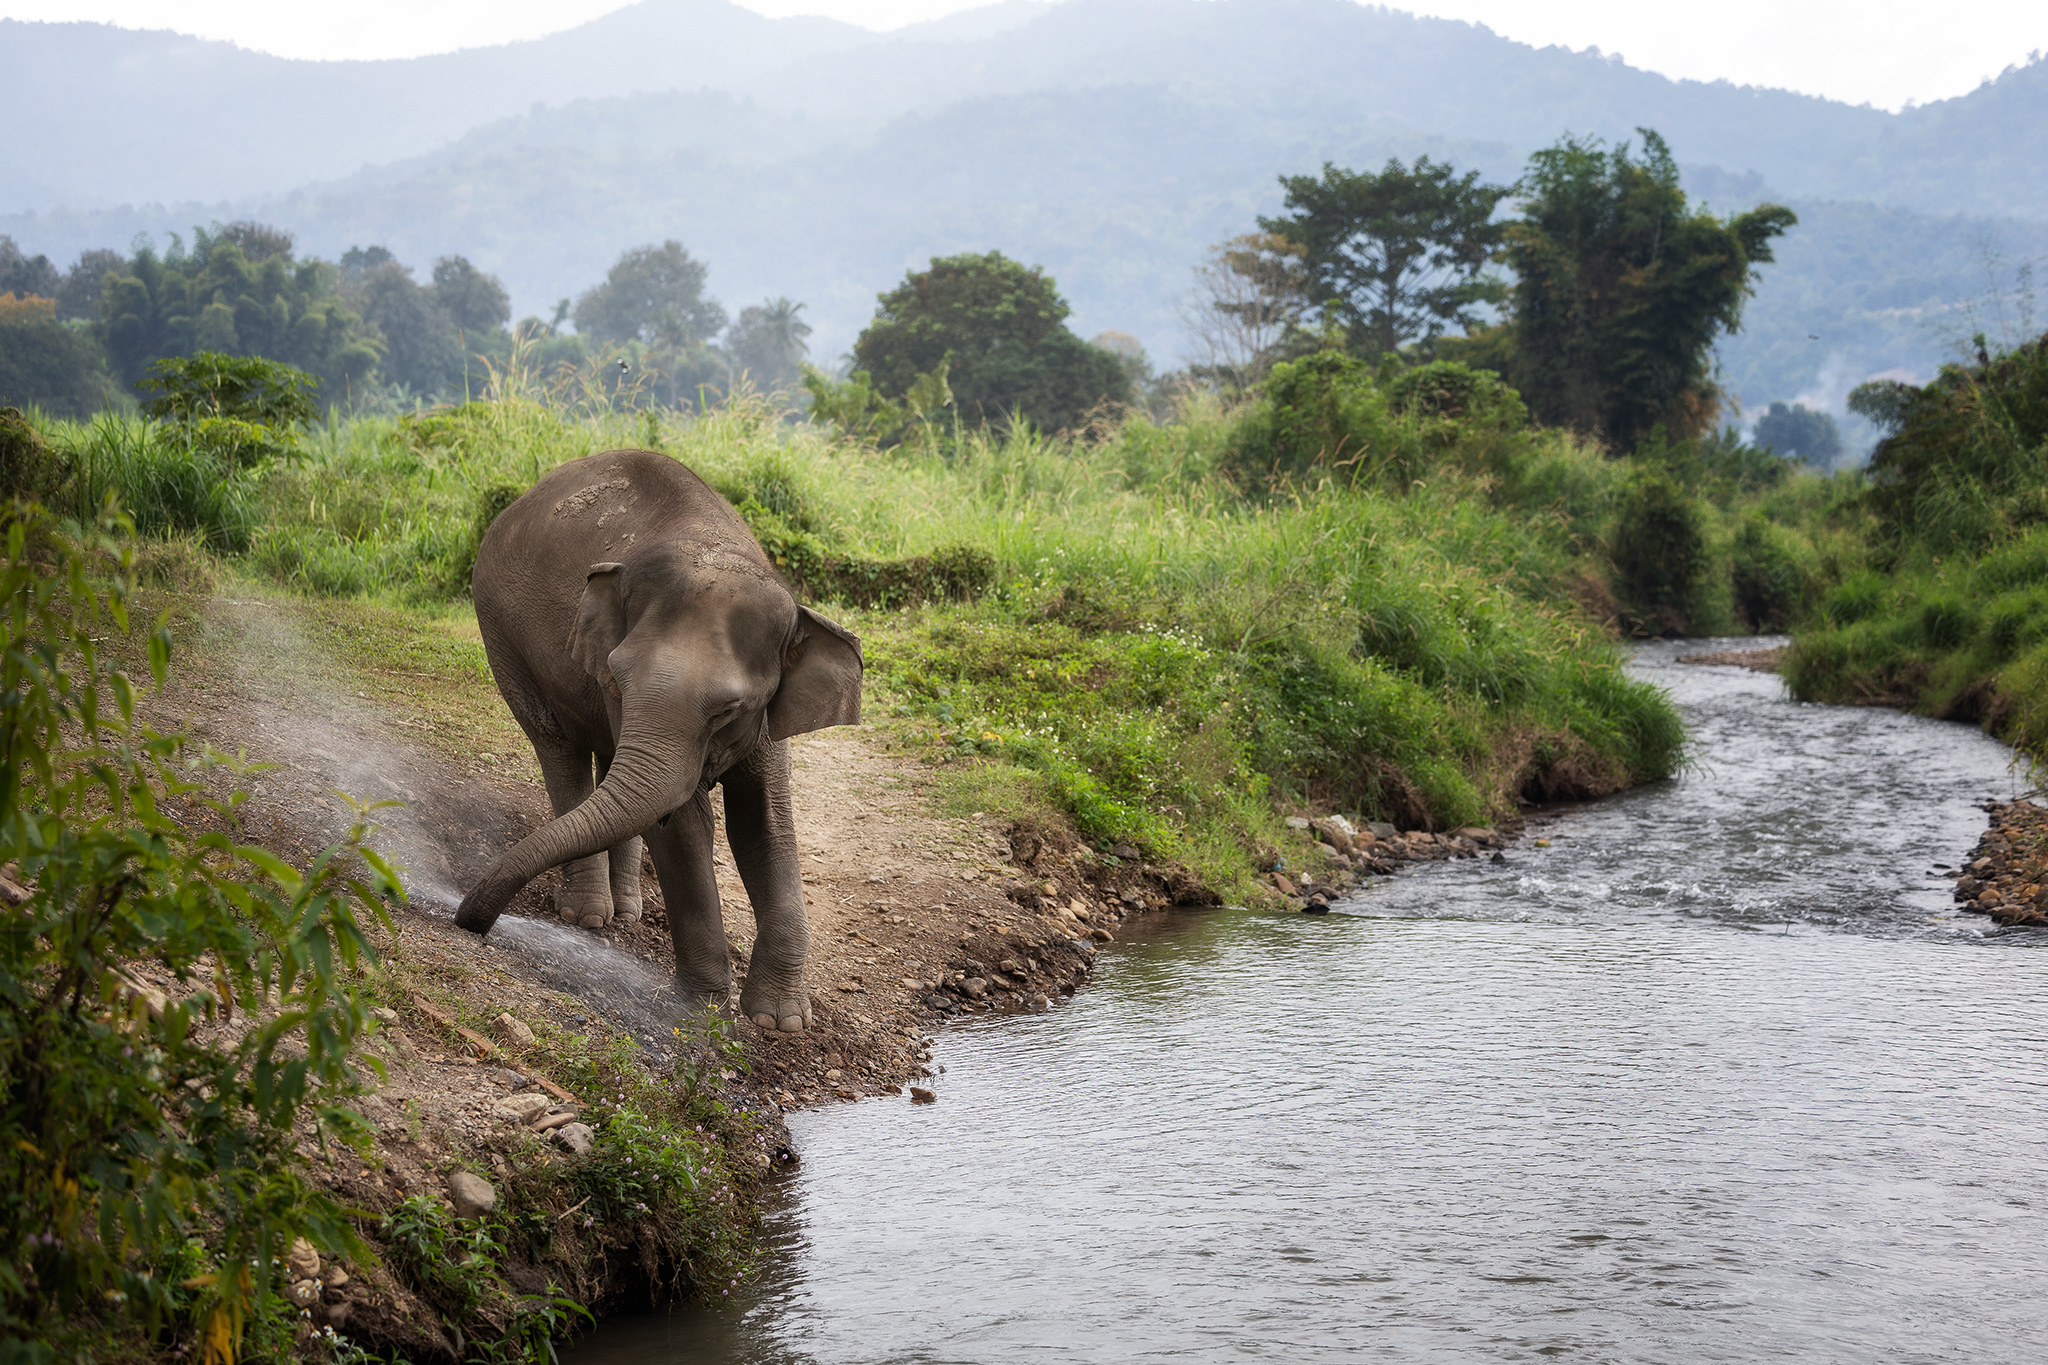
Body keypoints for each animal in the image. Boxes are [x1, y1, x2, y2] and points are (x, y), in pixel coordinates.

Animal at [451, 448, 863, 1034]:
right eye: (620, 680)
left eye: (729, 709)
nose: (467, 921)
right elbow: (683, 824)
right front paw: (701, 1010)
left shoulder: (769, 717)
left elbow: (764, 820)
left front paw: (778, 1021)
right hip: (501, 635)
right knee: (559, 748)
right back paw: (587, 916)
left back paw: (625, 913)